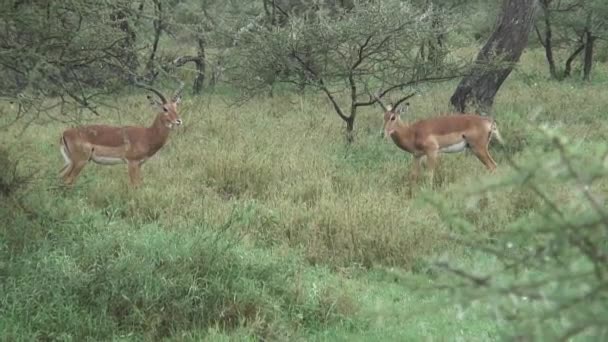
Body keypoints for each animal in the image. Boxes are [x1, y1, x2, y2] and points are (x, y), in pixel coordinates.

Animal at [376, 95, 504, 183]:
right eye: (384, 116)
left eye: (393, 117)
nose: (382, 134)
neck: (412, 132)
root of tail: (489, 121)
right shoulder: (416, 155)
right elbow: (413, 176)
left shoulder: (432, 152)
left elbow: (429, 175)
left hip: (479, 149)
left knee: (493, 166)